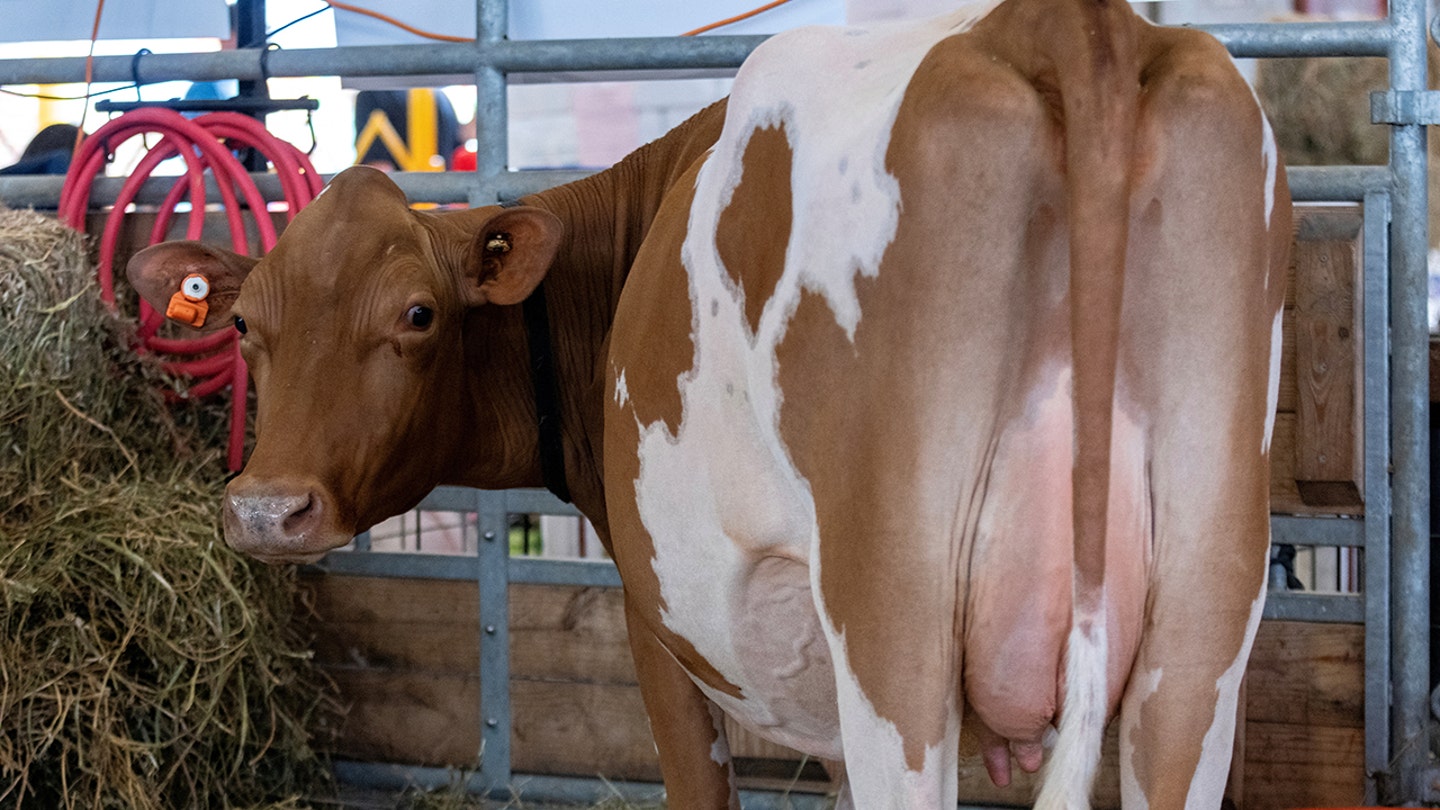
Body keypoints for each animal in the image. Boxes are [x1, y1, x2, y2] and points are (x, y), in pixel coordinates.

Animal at [129, 3, 1290, 801]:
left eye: (417, 313)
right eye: (245, 324)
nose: (266, 509)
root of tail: (1058, 26)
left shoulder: (661, 634)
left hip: (896, 638)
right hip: (1202, 628)